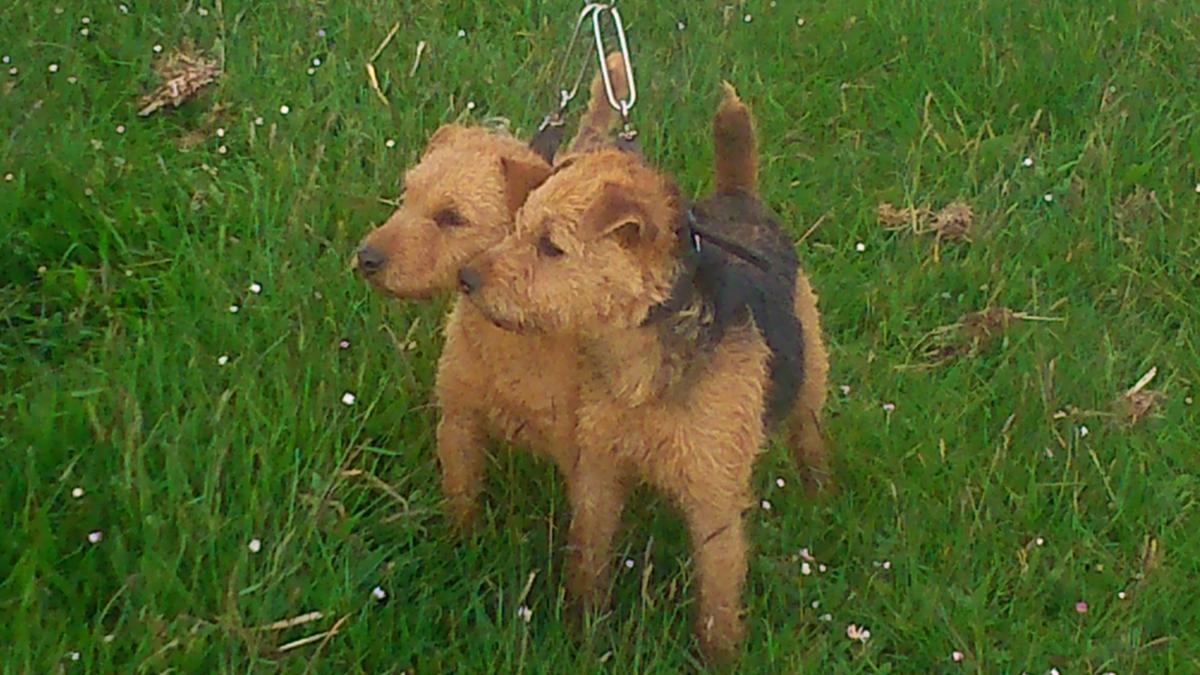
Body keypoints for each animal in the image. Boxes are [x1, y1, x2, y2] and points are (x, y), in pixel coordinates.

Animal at [352, 55, 628, 528]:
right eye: (407, 195)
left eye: (451, 216)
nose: (365, 258)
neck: (509, 335)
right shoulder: (459, 423)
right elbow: (461, 502)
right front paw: (457, 544)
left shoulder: (588, 466)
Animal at [460, 85, 835, 662]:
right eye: (518, 227)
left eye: (551, 245)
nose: (466, 277)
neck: (633, 359)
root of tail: (738, 197)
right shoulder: (598, 468)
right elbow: (589, 558)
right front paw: (584, 630)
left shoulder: (713, 497)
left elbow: (717, 597)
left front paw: (720, 658)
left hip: (810, 381)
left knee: (810, 442)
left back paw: (820, 497)